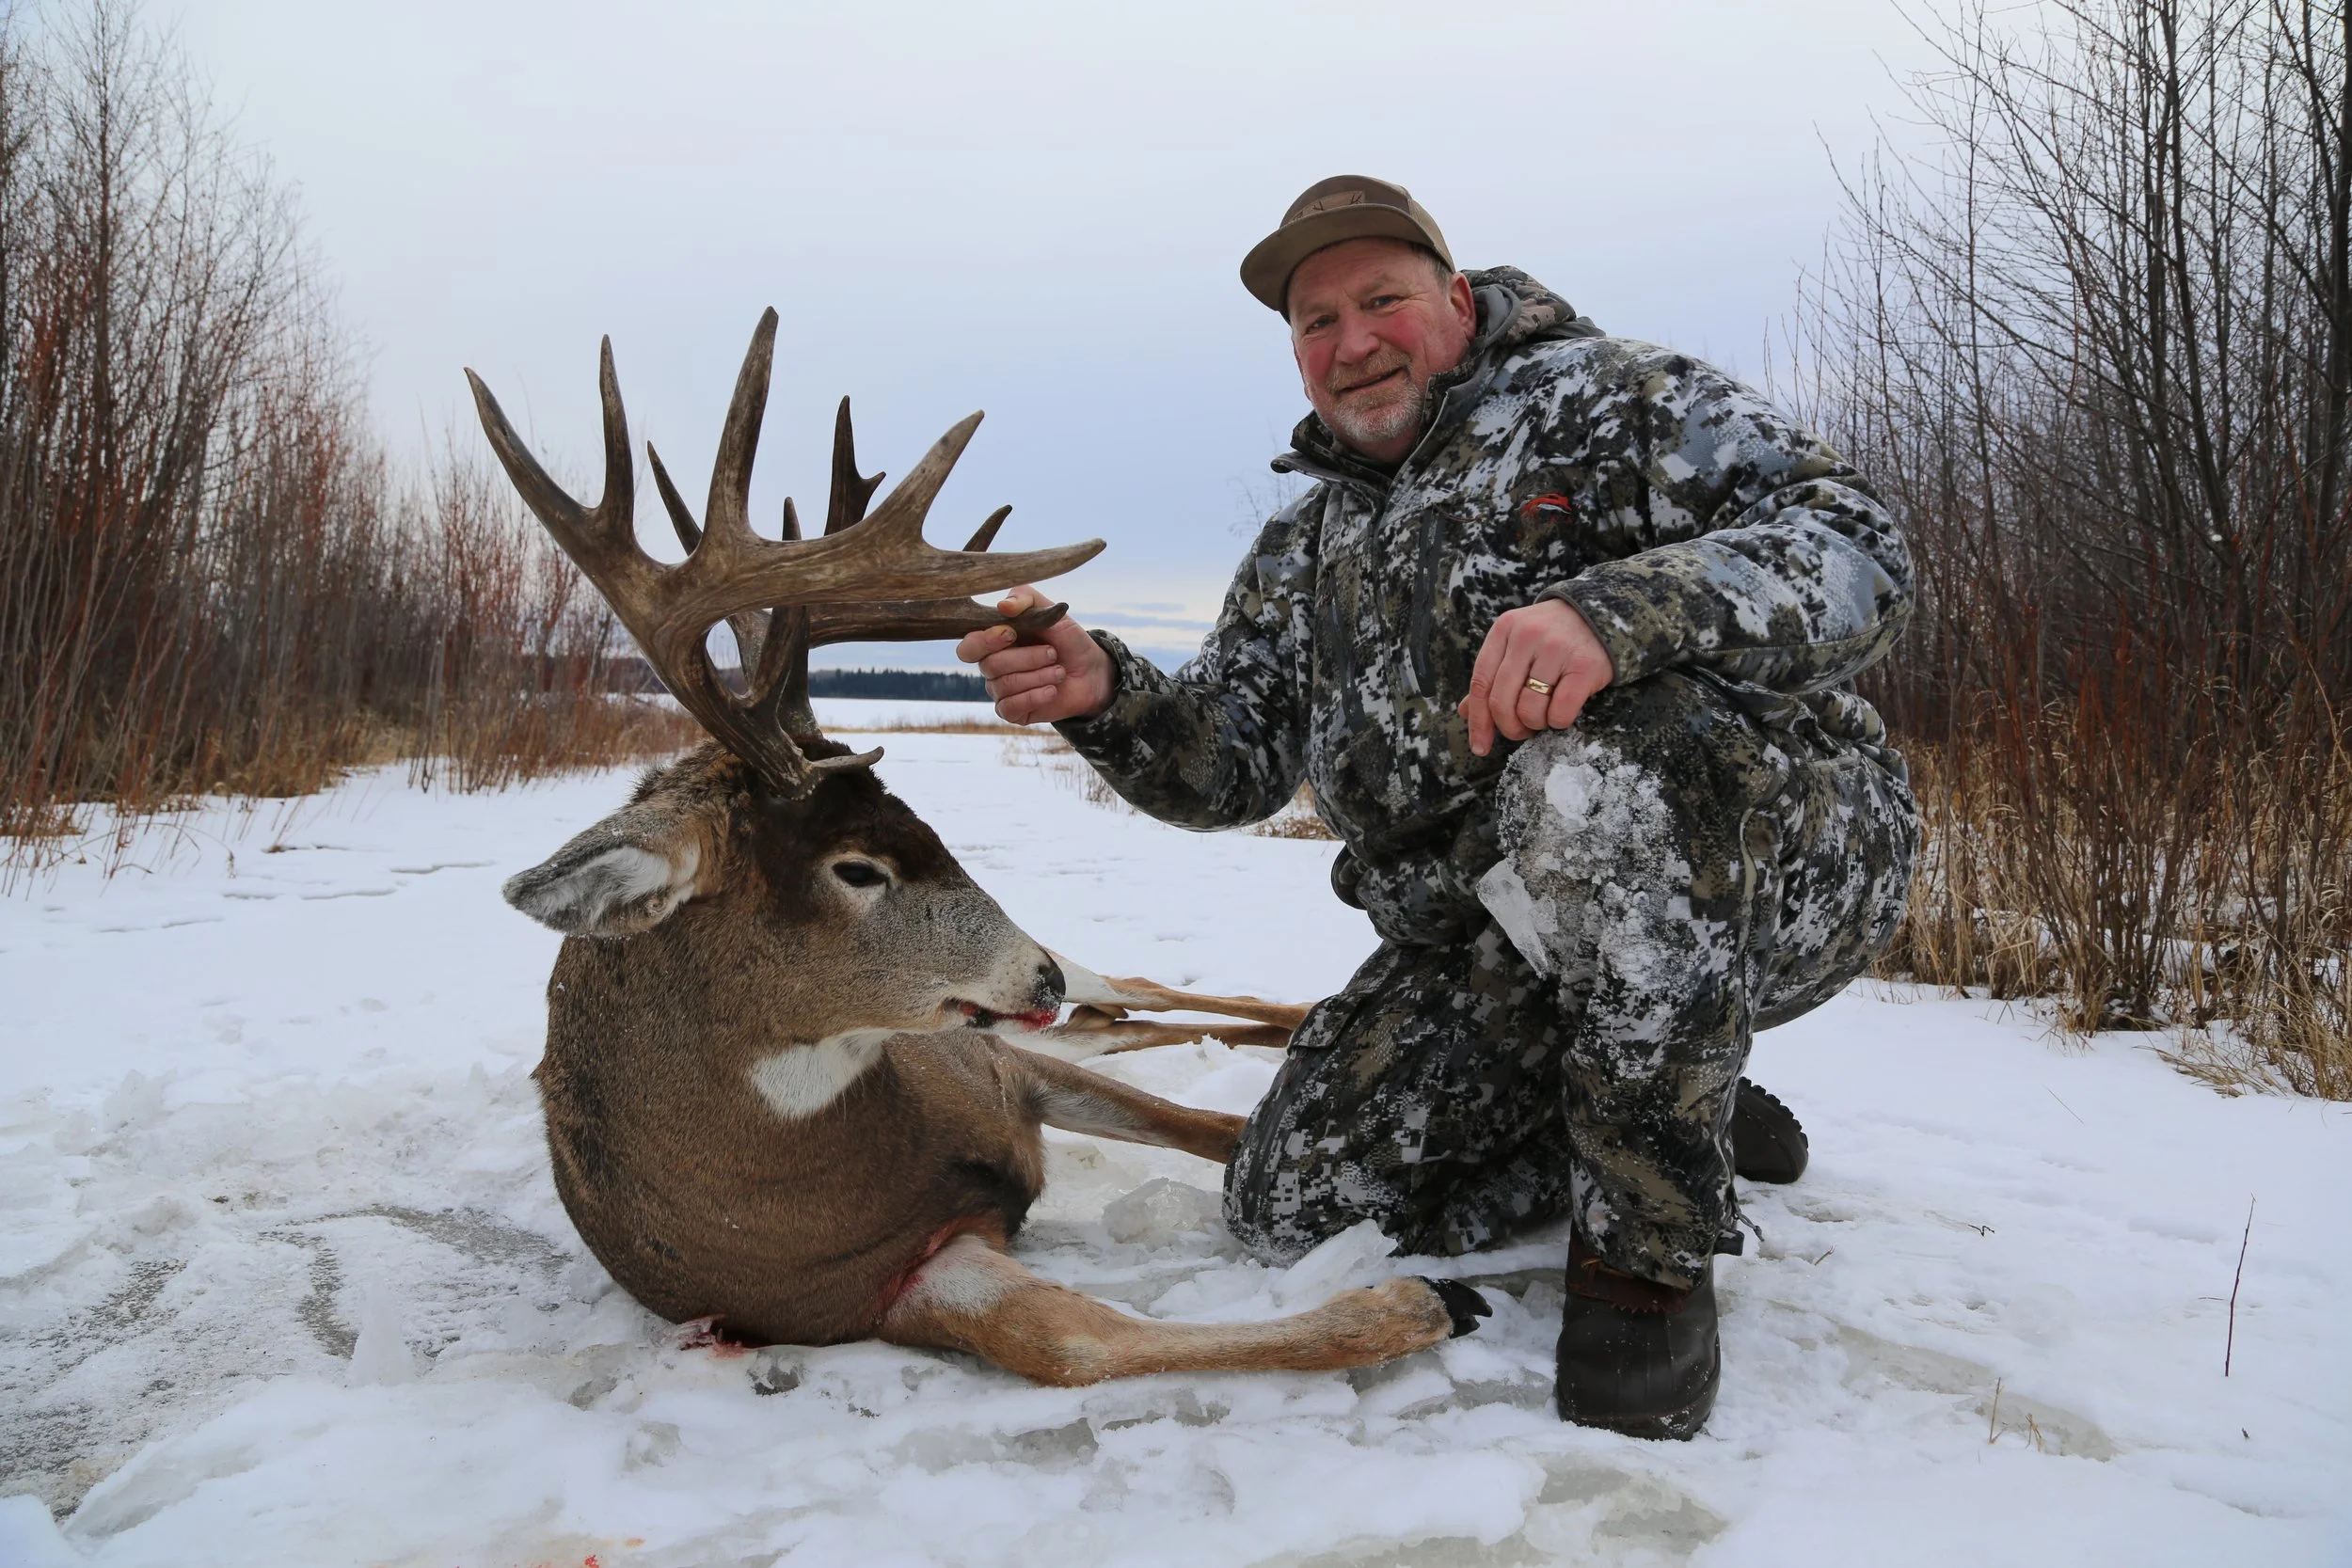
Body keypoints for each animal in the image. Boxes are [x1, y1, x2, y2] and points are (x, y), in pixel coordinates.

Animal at [464, 310, 1489, 1386]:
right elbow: (1076, 1344)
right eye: (857, 868)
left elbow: (1217, 1131)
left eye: (925, 828)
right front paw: (1420, 1297)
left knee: (1146, 990)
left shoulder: (1003, 1069)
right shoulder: (883, 1279)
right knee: (1120, 1015)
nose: (1036, 972)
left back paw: (1282, 1015)